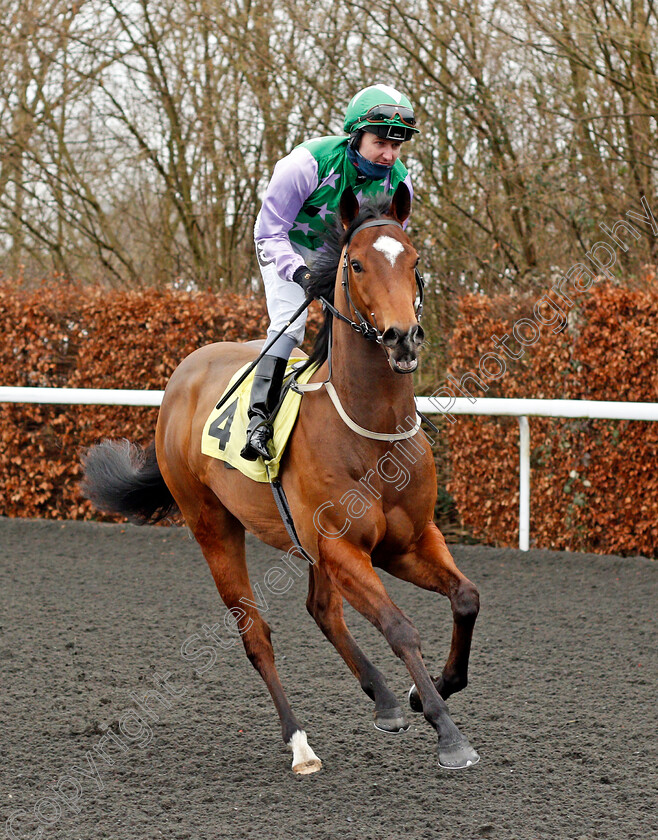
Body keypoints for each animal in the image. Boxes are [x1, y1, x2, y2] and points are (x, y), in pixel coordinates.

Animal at [83, 184, 482, 776]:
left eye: (413, 261)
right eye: (356, 264)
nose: (402, 338)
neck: (371, 428)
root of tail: (183, 374)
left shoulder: (408, 541)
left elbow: (466, 598)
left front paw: (424, 691)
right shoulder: (345, 549)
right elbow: (399, 626)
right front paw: (447, 732)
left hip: (305, 541)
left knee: (322, 610)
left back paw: (386, 701)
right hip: (212, 526)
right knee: (257, 636)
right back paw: (300, 744)